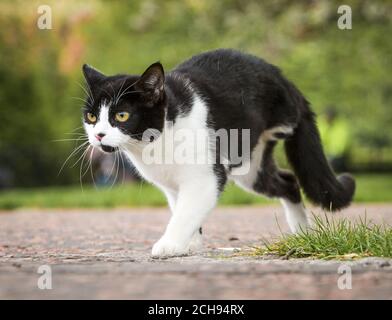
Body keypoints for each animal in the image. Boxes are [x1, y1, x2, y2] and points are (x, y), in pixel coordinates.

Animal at [82, 48, 356, 258]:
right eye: (92, 117)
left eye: (122, 115)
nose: (99, 135)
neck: (154, 144)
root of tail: (284, 79)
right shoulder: (172, 186)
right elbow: (182, 208)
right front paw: (189, 244)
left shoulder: (205, 177)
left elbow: (186, 212)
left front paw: (169, 245)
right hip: (251, 167)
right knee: (288, 181)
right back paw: (302, 233)